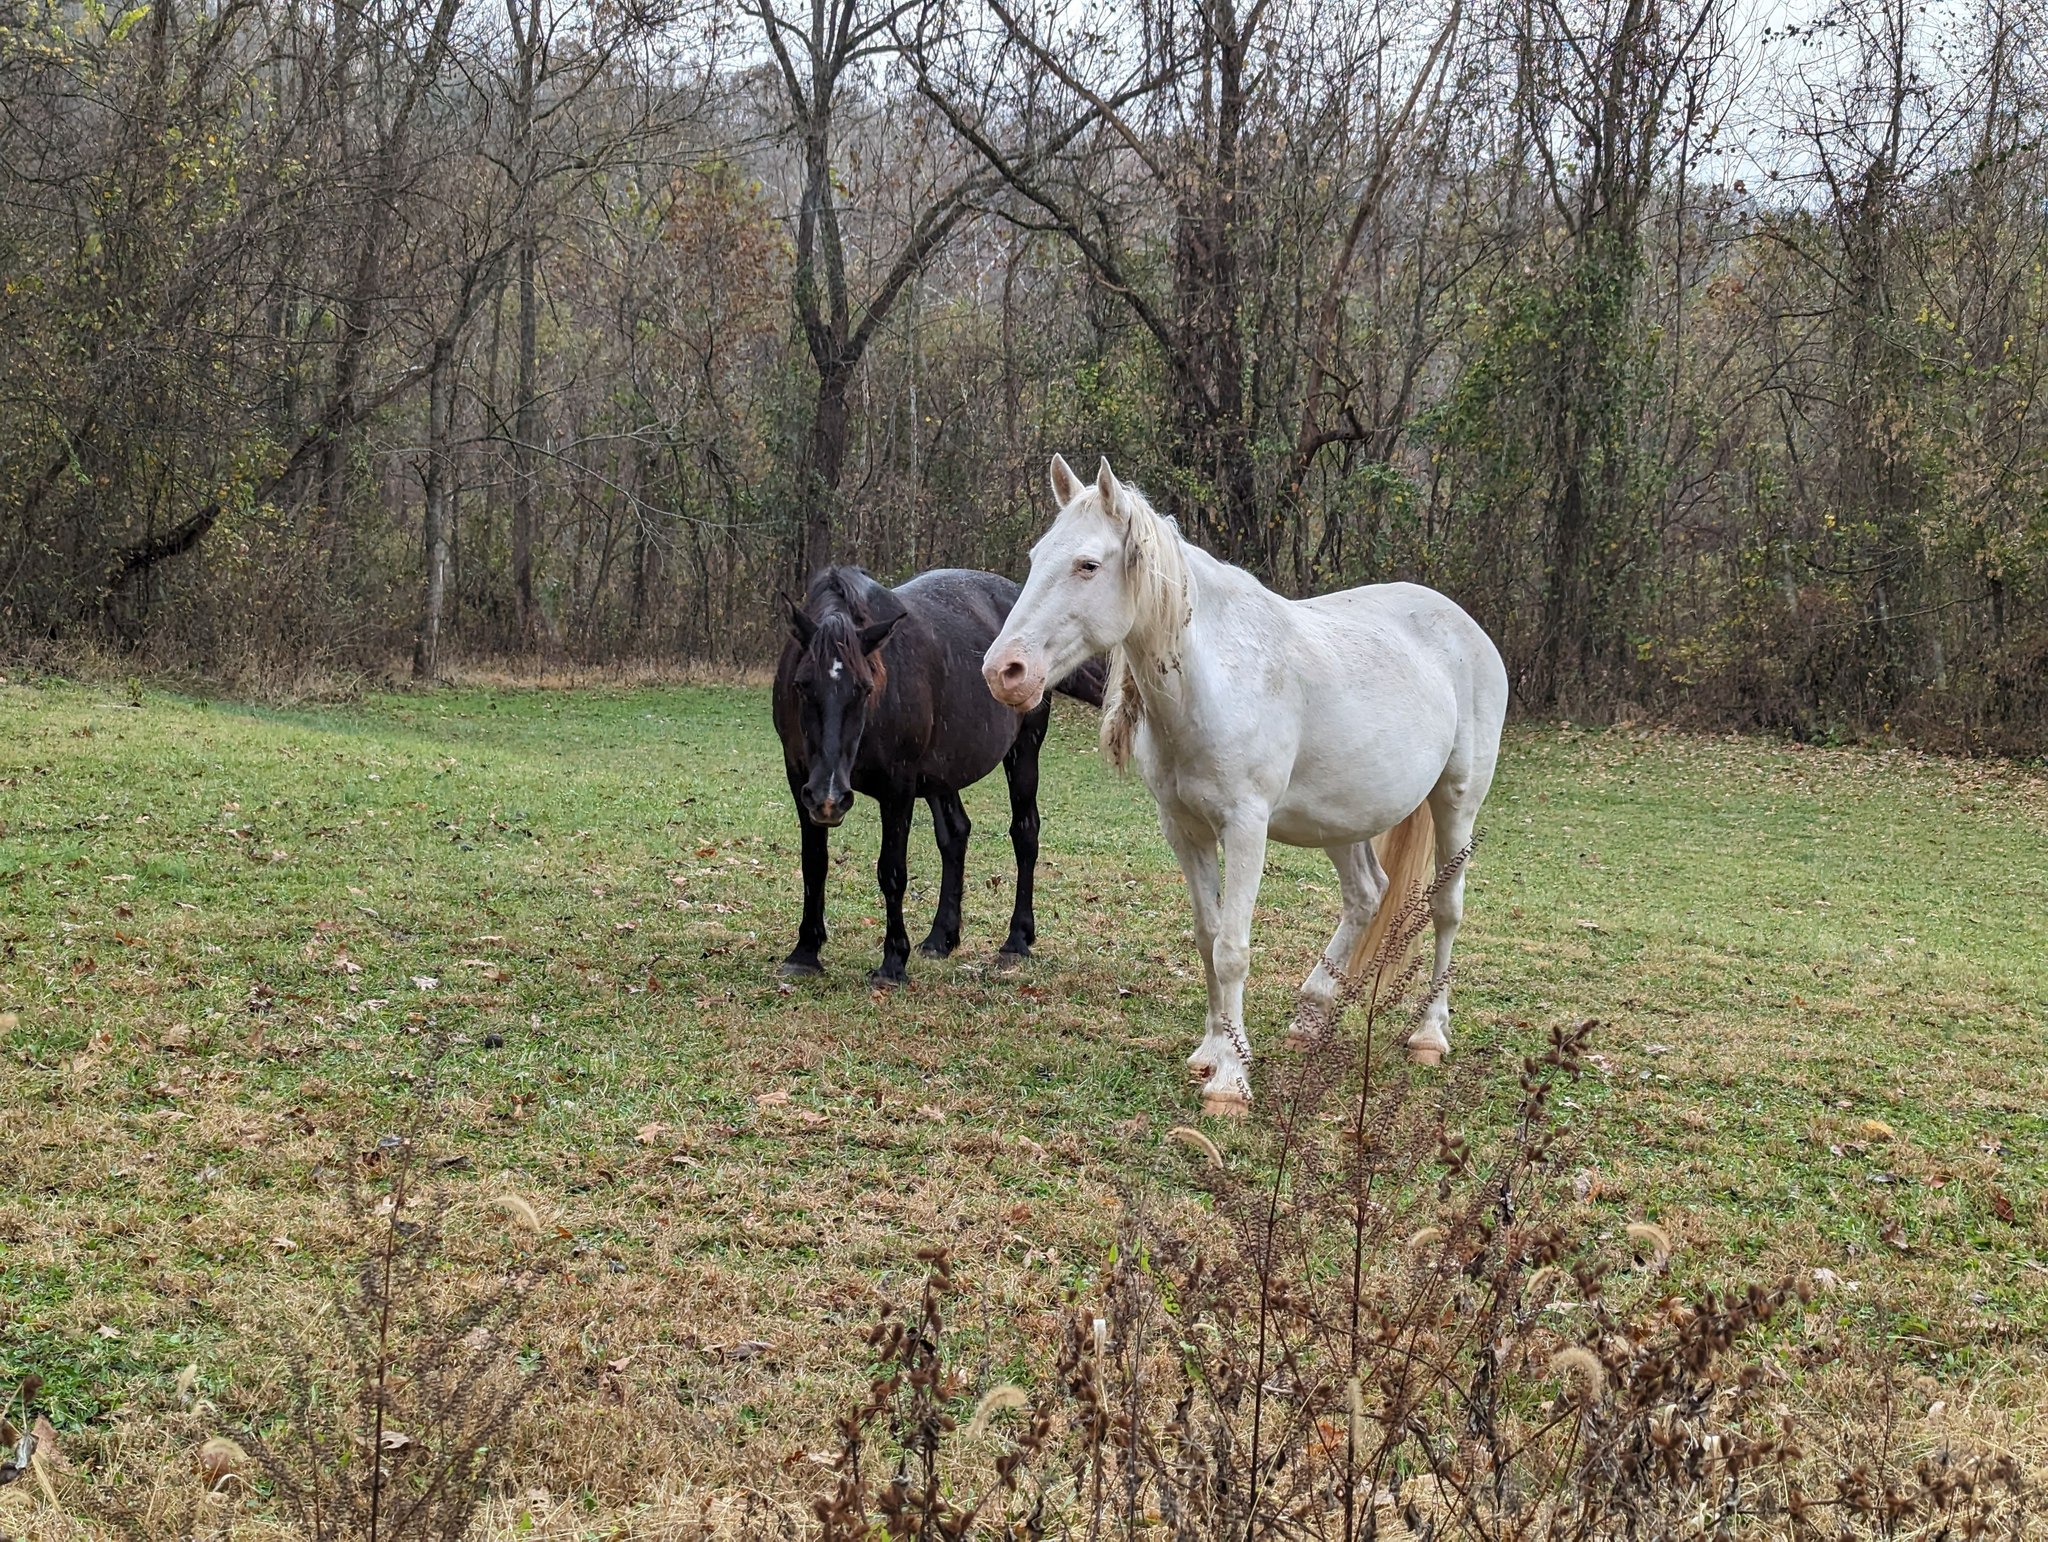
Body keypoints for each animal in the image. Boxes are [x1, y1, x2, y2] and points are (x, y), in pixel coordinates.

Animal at [773, 565, 1104, 987]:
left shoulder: (897, 787)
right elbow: (814, 862)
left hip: (1024, 750)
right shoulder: (800, 778)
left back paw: (1016, 940)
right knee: (955, 835)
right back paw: (940, 937)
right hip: (941, 774)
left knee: (1025, 832)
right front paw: (805, 952)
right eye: (802, 685)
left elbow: (892, 871)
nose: (831, 798)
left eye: (864, 689)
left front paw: (892, 963)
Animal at [982, 457, 1508, 1114]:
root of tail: (1467, 628)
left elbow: (1232, 948)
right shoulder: (1183, 830)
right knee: (1367, 894)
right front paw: (1213, 1051)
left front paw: (1231, 1082)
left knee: (1446, 908)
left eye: (1088, 565)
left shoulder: (1245, 829)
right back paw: (1312, 1015)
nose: (1004, 672)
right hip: (1342, 819)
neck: (1214, 681)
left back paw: (1430, 1033)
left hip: (1456, 802)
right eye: (1035, 558)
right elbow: (1207, 938)